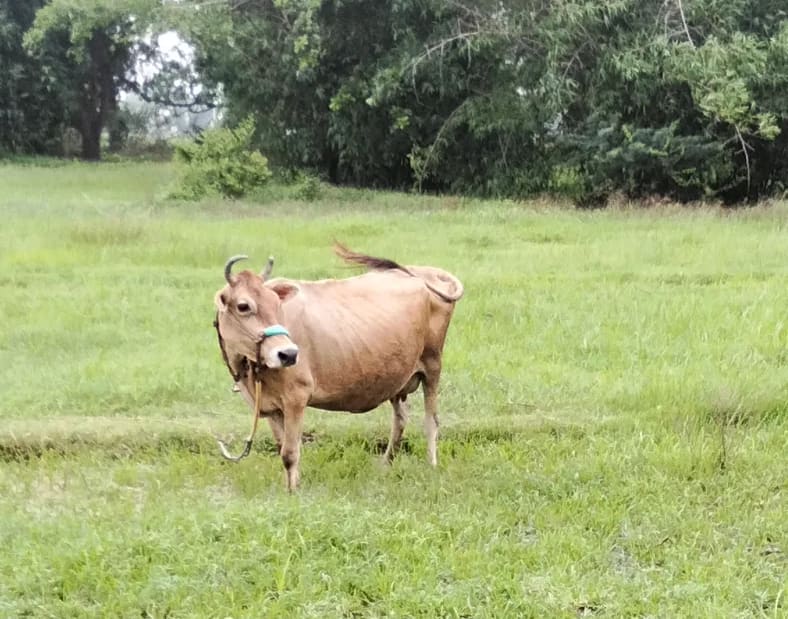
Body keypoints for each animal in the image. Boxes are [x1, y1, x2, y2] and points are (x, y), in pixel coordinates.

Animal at [212, 243, 464, 490]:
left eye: (276, 304)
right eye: (243, 306)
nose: (289, 354)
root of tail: (423, 272)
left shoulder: (296, 396)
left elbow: (290, 453)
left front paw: (293, 493)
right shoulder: (271, 407)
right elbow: (282, 446)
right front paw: (291, 486)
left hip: (432, 364)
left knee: (431, 420)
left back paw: (431, 465)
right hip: (397, 375)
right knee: (401, 418)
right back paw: (385, 465)